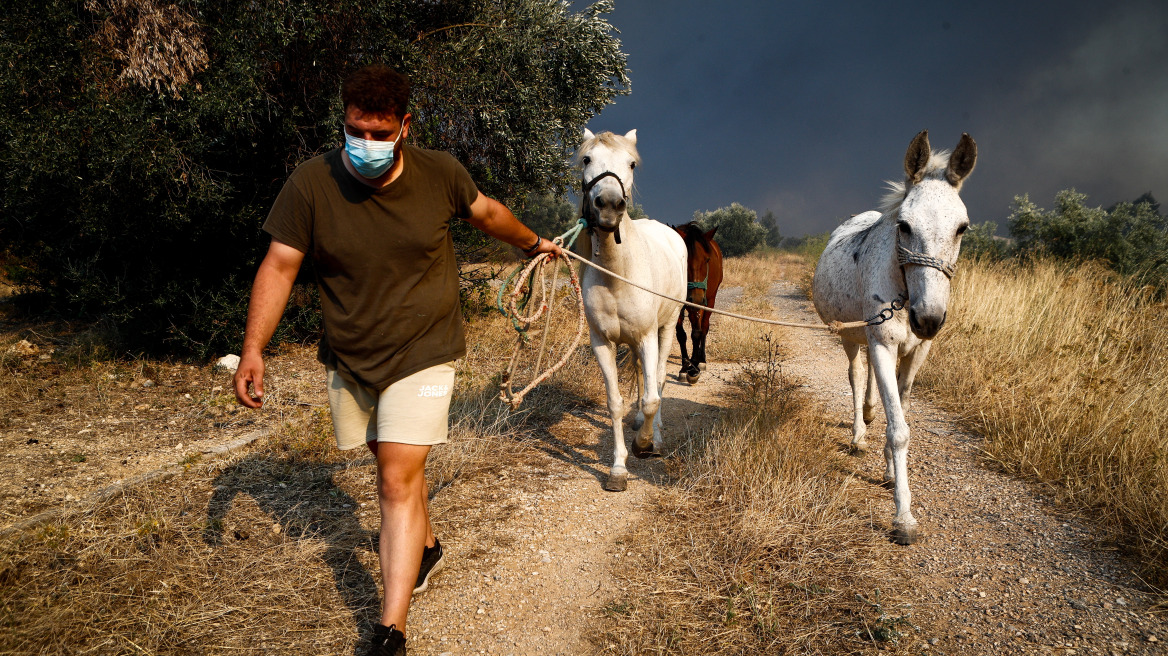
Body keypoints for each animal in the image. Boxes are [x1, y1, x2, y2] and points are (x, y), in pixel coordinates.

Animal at [576, 128, 686, 490]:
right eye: (586, 158)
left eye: (632, 163)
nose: (610, 205)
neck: (617, 273)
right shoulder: (603, 343)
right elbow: (615, 403)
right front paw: (618, 469)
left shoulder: (648, 336)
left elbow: (653, 396)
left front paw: (643, 445)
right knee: (642, 376)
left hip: (666, 329)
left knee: (659, 381)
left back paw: (657, 437)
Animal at [677, 221, 719, 380]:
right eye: (685, 259)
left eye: (707, 259)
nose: (695, 298)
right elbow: (681, 334)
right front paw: (684, 366)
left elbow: (697, 332)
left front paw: (694, 366)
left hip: (710, 300)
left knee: (704, 327)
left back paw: (702, 360)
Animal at [812, 130, 976, 543]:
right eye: (904, 225)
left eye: (962, 228)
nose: (928, 318)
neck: (903, 293)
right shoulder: (883, 345)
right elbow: (899, 429)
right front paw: (903, 516)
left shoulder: (917, 352)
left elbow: (898, 411)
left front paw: (889, 470)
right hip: (850, 337)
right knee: (856, 376)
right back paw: (858, 433)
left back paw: (871, 415)